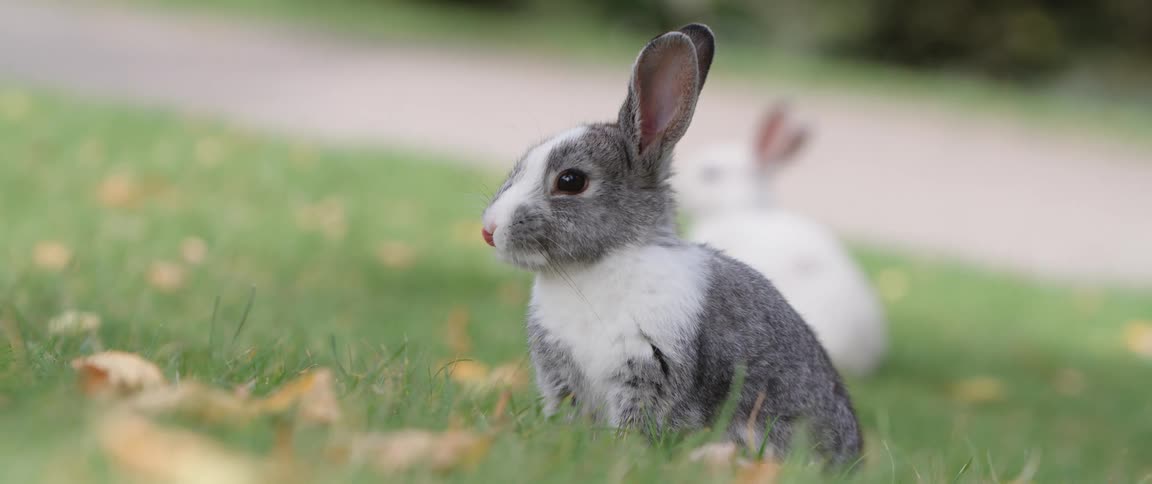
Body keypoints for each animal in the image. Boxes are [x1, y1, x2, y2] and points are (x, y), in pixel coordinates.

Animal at [480, 24, 862, 467]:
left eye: (571, 181)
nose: (489, 230)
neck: (602, 262)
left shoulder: (651, 367)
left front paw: (620, 452)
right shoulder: (562, 375)